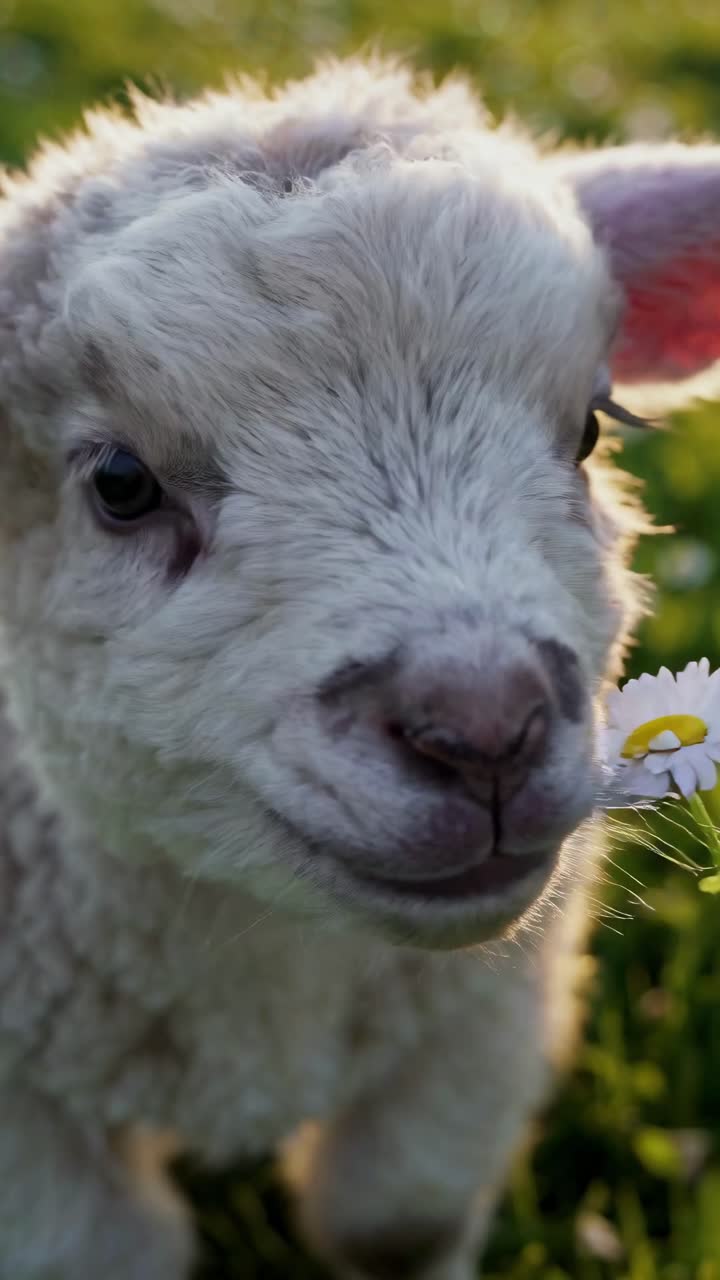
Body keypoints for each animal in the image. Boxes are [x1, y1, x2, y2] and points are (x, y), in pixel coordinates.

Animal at [0, 54, 718, 1280]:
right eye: (120, 483)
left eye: (587, 429)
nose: (485, 728)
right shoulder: (24, 1107)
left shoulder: (484, 1007)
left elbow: (396, 1216)